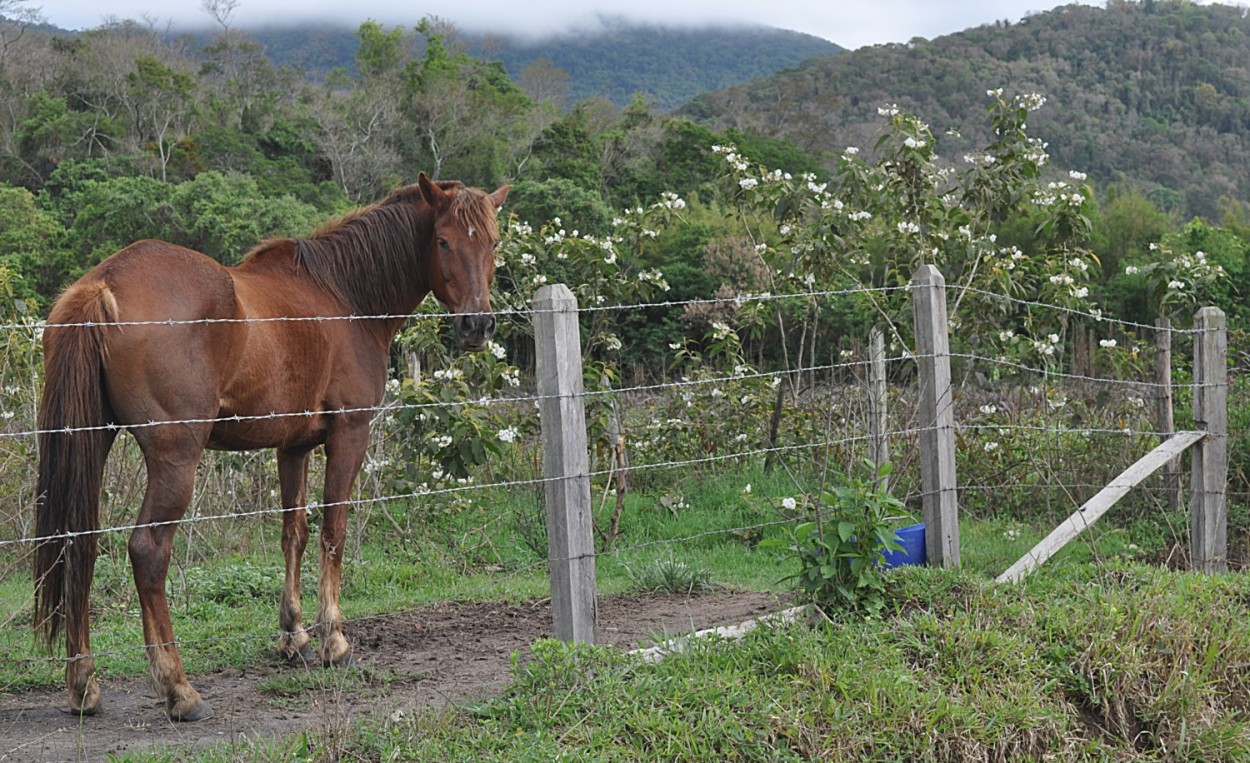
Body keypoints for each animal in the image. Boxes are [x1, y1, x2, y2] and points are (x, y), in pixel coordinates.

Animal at [35, 171, 512, 720]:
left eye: (493, 241)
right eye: (444, 241)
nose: (478, 325)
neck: (344, 296)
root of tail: (105, 283)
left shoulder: (294, 447)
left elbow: (293, 533)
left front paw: (293, 635)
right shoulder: (349, 434)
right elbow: (333, 531)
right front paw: (333, 641)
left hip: (91, 443)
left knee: (78, 545)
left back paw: (83, 685)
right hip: (175, 459)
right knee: (148, 551)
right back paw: (179, 689)